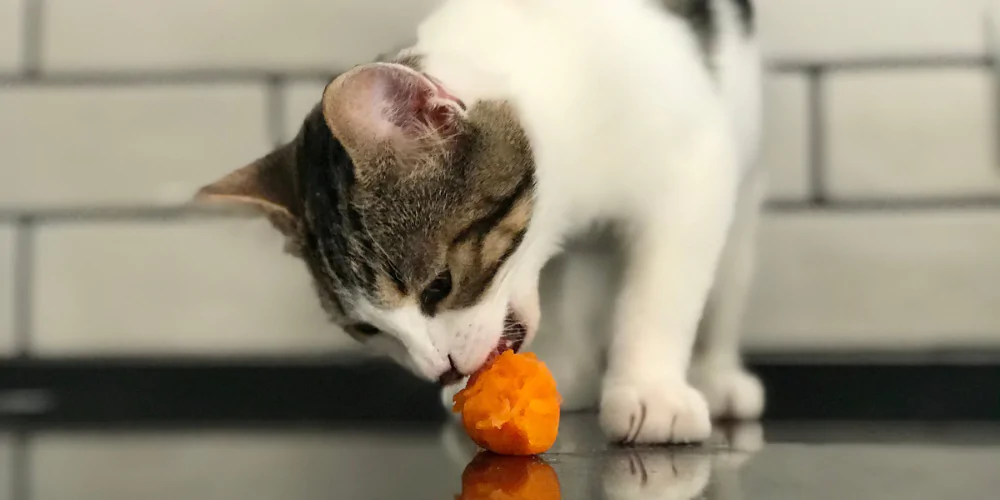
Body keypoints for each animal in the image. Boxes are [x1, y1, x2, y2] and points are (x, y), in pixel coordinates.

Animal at [197, 0, 764, 446]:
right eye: (366, 329)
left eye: (440, 284)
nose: (441, 370)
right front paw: (562, 370)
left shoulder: (693, 169)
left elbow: (658, 293)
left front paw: (650, 392)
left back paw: (719, 377)